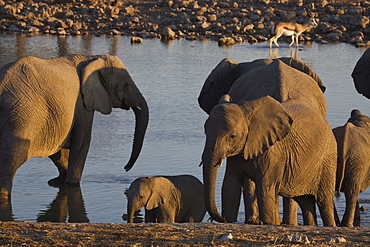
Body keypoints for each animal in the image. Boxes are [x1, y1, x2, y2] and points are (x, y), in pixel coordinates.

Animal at [0, 54, 149, 199]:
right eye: (125, 85)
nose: (125, 169)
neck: (92, 58)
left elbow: (58, 151)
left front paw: (58, 181)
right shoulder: (82, 104)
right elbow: (81, 143)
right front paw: (71, 184)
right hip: (21, 116)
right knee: (11, 160)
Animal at [198, 57, 336, 226]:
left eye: (232, 136)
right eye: (205, 132)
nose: (216, 217)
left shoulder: (270, 152)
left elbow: (262, 188)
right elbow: (230, 188)